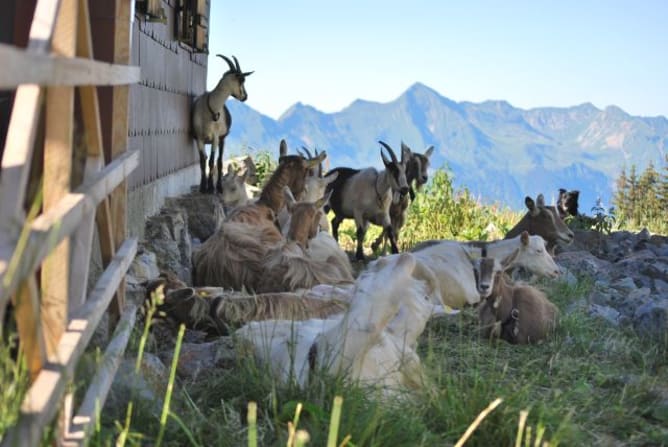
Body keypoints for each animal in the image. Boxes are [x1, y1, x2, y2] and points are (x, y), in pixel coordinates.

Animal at [190, 53, 253, 193]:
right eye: (241, 80)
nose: (245, 97)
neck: (211, 108)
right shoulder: (199, 138)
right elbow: (203, 161)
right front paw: (203, 187)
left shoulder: (215, 137)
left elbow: (212, 161)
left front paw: (210, 187)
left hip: (223, 139)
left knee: (219, 162)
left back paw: (218, 187)